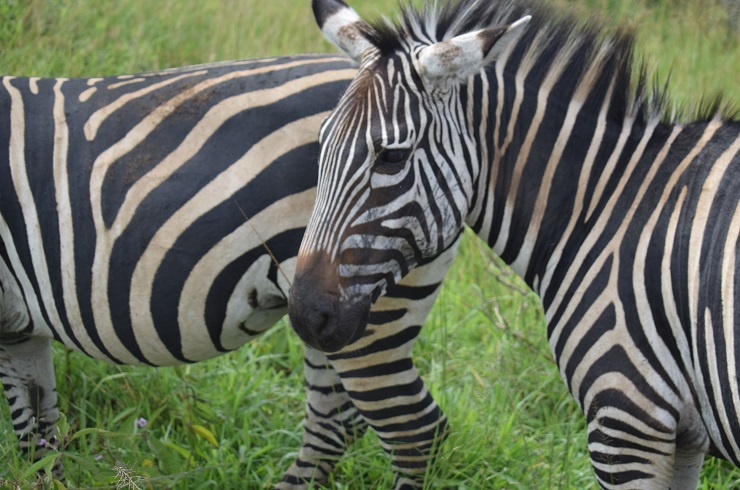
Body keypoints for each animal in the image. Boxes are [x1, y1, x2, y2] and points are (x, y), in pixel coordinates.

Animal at [0, 51, 456, 488]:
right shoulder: (18, 331)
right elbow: (37, 437)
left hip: (367, 305)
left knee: (415, 431)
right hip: (323, 317)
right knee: (336, 418)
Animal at [288, 0, 740, 486]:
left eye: (392, 156)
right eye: (320, 143)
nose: (305, 315)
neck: (608, 201)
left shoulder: (626, 418)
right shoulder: (684, 435)